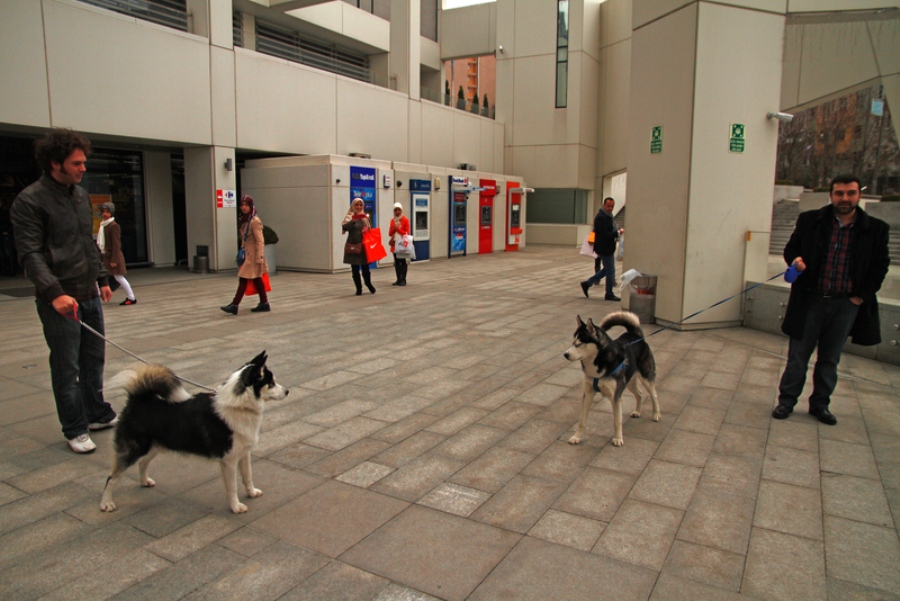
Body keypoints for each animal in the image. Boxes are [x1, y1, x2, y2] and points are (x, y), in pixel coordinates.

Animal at [101, 352, 288, 516]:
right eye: (271, 383)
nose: (287, 391)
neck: (238, 405)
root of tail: (138, 399)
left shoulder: (243, 453)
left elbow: (248, 476)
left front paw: (251, 492)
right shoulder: (229, 460)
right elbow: (232, 487)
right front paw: (236, 507)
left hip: (154, 447)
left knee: (142, 463)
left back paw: (144, 481)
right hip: (133, 450)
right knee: (112, 477)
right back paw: (106, 503)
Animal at [564, 314, 660, 446]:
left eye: (579, 344)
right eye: (573, 342)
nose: (565, 354)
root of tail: (635, 335)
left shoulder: (615, 397)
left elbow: (617, 420)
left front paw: (618, 438)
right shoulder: (588, 393)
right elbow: (582, 420)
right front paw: (577, 437)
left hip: (646, 378)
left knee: (654, 395)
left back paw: (656, 414)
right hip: (629, 382)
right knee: (639, 394)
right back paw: (637, 411)